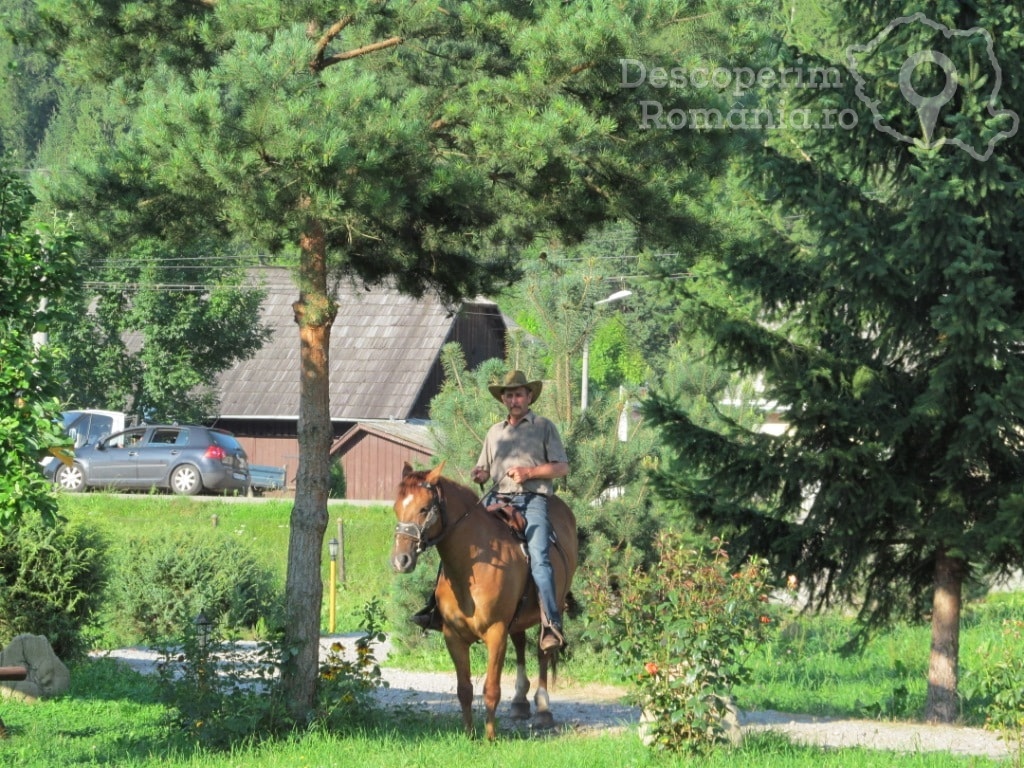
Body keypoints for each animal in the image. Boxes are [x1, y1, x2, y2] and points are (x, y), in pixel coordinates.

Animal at [391, 462, 581, 741]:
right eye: (396, 507)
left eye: (424, 508)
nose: (400, 560)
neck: (472, 568)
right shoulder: (453, 635)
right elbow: (464, 689)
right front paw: (469, 734)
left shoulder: (496, 633)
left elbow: (491, 689)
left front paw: (490, 737)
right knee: (520, 643)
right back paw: (520, 702)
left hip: (548, 611)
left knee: (543, 651)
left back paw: (543, 708)